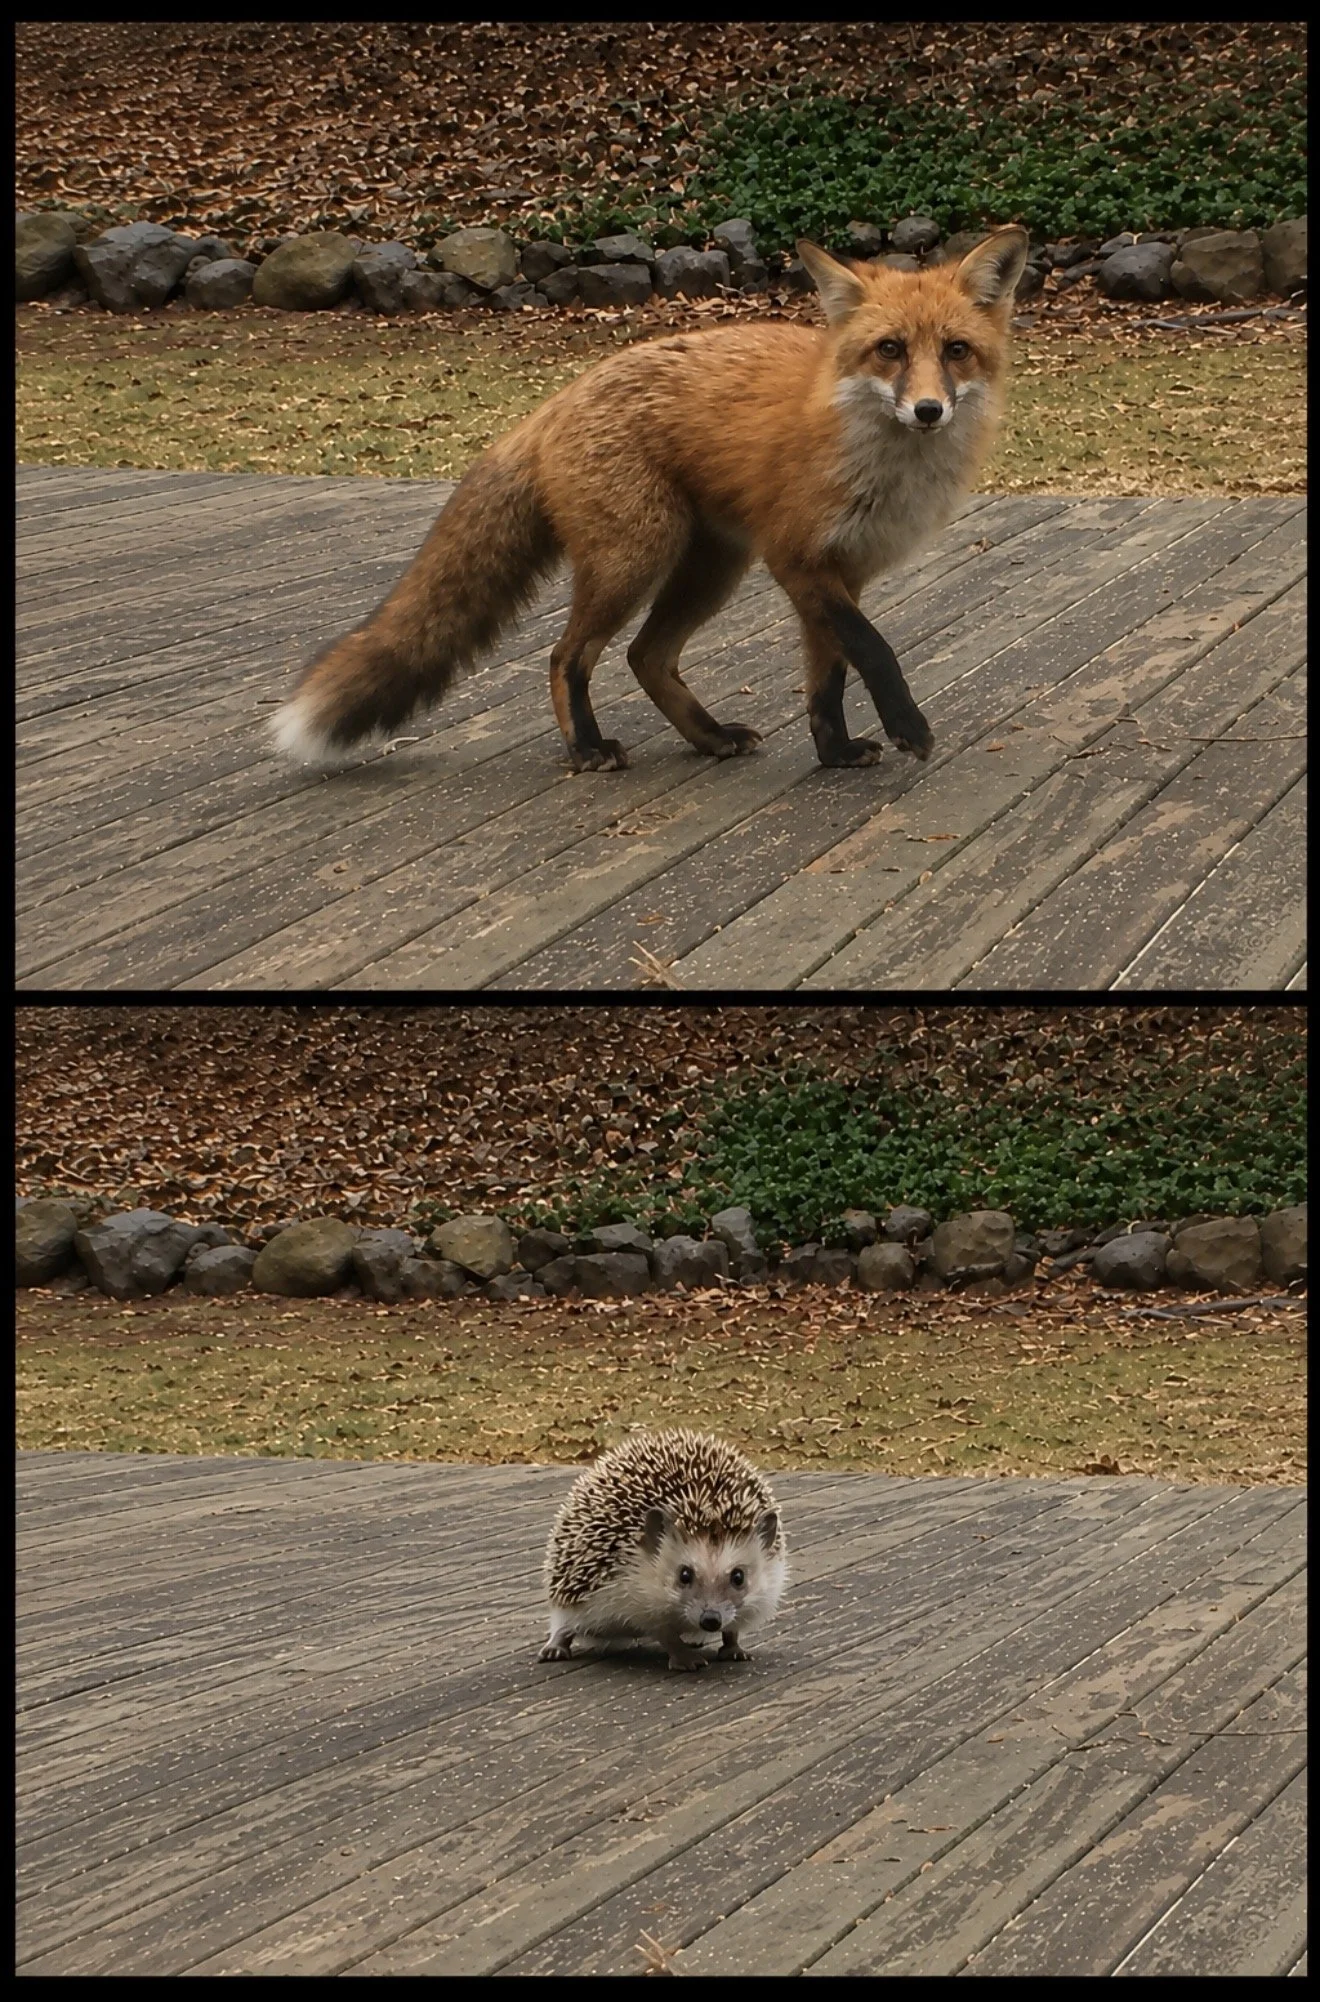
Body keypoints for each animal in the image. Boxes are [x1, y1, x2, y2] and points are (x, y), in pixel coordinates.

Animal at [274, 224, 1028, 775]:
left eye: (956, 350)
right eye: (890, 350)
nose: (928, 410)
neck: (883, 464)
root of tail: (556, 401)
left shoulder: (844, 571)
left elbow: (829, 679)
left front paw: (835, 752)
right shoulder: (797, 558)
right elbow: (875, 650)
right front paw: (907, 726)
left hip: (709, 568)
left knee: (646, 657)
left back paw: (710, 737)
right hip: (636, 558)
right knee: (567, 657)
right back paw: (587, 748)